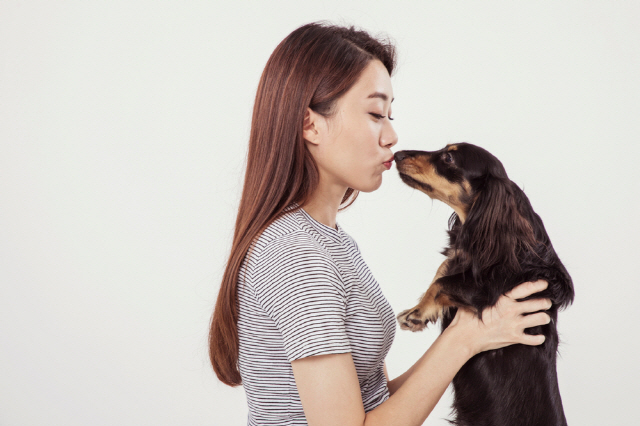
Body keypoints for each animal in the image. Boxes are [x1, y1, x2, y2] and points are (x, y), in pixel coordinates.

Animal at [396, 143, 576, 426]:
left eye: (449, 157)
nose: (397, 154)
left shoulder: (490, 289)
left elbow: (443, 282)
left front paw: (417, 314)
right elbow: (444, 268)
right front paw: (417, 310)